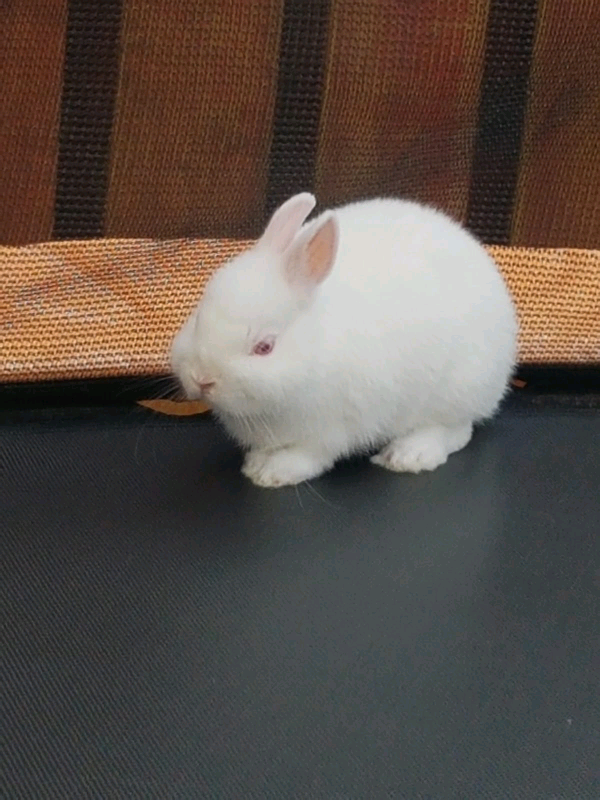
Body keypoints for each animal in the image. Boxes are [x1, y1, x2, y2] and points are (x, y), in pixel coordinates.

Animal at [170, 192, 518, 488]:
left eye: (264, 347)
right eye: (198, 320)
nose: (202, 380)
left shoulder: (329, 429)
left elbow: (309, 457)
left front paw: (272, 473)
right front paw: (255, 464)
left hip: (457, 390)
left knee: (455, 431)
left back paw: (408, 455)